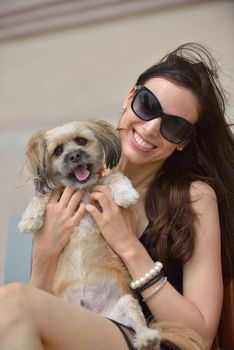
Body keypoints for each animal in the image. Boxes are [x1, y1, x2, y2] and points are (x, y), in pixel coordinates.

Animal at [18, 120, 162, 350]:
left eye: (81, 141)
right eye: (58, 151)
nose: (75, 155)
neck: (82, 190)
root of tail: (95, 312)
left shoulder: (103, 182)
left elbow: (115, 177)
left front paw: (126, 195)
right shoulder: (56, 195)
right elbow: (41, 196)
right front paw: (29, 219)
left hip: (125, 304)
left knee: (137, 321)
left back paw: (147, 337)